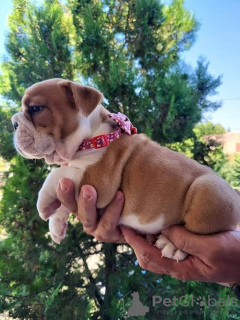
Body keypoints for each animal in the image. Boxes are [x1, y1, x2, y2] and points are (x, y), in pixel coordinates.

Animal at [12, 79, 240, 262]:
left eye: (36, 108)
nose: (13, 123)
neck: (91, 137)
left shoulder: (99, 180)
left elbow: (55, 175)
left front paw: (42, 204)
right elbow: (62, 196)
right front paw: (56, 225)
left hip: (206, 190)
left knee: (197, 229)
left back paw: (172, 245)